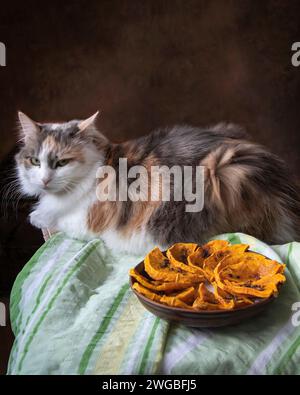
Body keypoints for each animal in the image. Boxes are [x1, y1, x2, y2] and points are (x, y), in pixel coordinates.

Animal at [15, 111, 300, 254]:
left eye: (62, 162)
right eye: (34, 161)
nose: (44, 180)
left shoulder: (88, 221)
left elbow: (58, 220)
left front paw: (37, 217)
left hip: (220, 173)